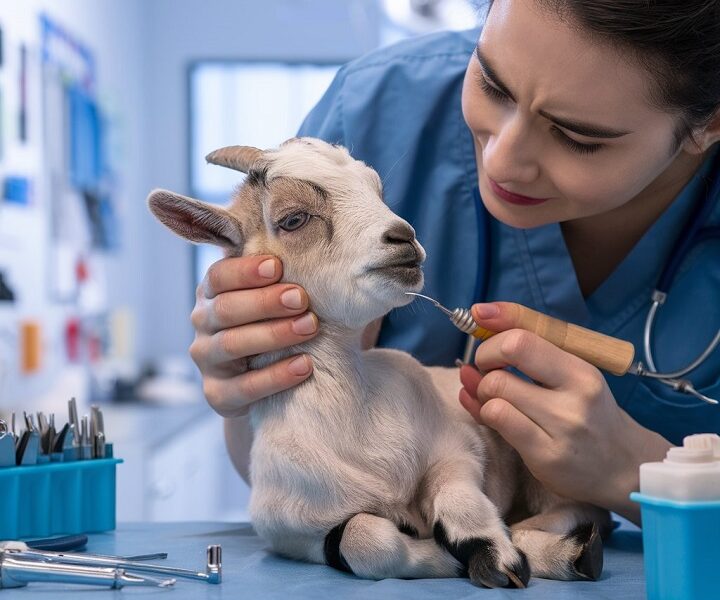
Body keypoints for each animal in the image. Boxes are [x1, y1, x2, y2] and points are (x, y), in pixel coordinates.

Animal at [149, 135, 612, 584]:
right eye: (294, 219)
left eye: (376, 190)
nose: (403, 236)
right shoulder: (294, 534)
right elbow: (364, 539)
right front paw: (442, 556)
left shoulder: (456, 447)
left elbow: (461, 495)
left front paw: (495, 555)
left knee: (582, 508)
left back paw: (566, 550)